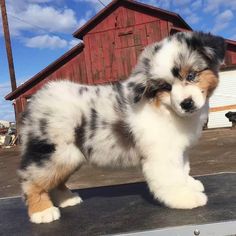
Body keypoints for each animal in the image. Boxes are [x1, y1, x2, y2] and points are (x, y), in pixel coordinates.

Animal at [18, 31, 225, 223]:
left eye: (191, 75)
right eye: (166, 87)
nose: (186, 103)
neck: (165, 108)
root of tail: (36, 100)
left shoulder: (180, 150)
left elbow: (183, 170)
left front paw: (190, 184)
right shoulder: (162, 154)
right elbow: (171, 177)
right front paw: (186, 198)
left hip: (70, 155)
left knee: (55, 180)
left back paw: (67, 199)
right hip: (54, 153)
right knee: (31, 180)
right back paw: (42, 212)